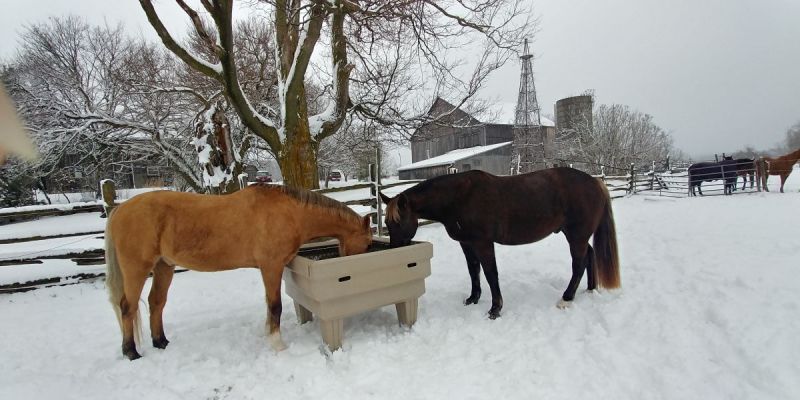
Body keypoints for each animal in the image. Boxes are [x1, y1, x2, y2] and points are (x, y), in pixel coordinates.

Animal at [105, 184, 372, 360]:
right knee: (128, 307)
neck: (290, 212)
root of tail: (119, 210)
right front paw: (277, 344)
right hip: (137, 269)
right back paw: (131, 352)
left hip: (164, 266)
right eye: (368, 242)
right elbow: (275, 306)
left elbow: (270, 305)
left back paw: (161, 342)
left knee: (156, 302)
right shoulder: (271, 266)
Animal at [379, 168, 620, 319]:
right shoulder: (466, 244)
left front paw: (495, 309)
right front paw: (473, 298)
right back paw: (590, 290)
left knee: (578, 264)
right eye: (386, 223)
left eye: (398, 222)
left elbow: (490, 273)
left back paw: (566, 299)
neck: (459, 197)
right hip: (578, 236)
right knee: (589, 255)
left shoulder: (483, 243)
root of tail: (596, 182)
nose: (394, 250)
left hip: (576, 236)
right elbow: (473, 271)